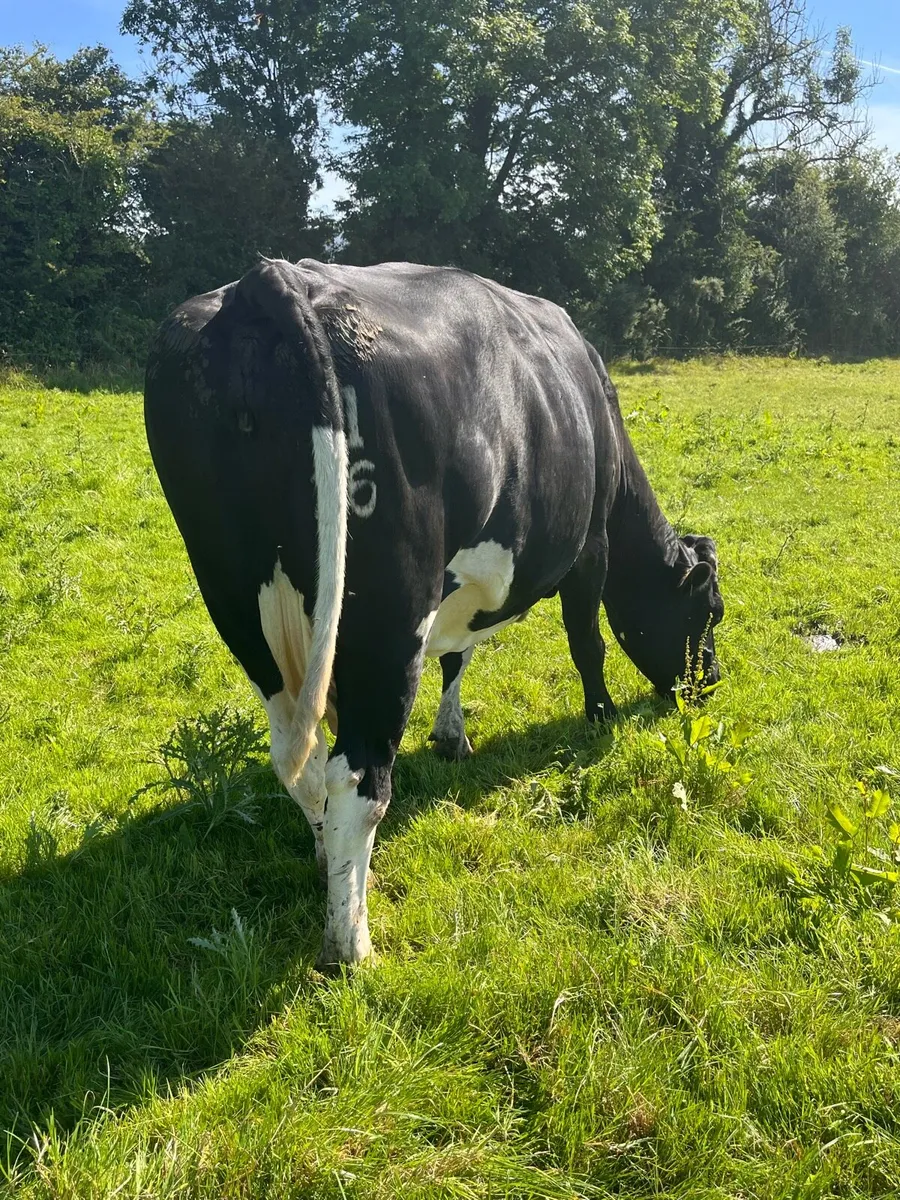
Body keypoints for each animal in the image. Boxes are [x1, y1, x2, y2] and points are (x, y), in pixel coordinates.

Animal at [144, 258, 724, 968]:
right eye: (711, 612)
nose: (710, 682)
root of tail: (273, 277)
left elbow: (459, 655)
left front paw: (452, 735)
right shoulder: (590, 550)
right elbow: (586, 640)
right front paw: (600, 714)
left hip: (238, 606)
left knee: (296, 759)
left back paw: (326, 867)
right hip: (387, 617)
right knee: (357, 779)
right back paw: (352, 944)